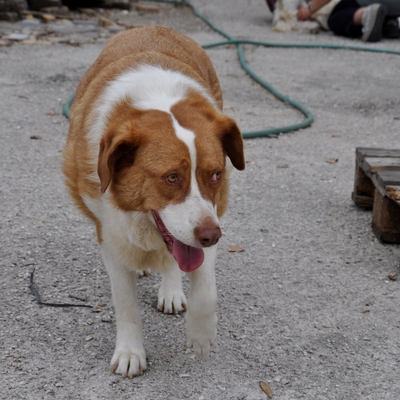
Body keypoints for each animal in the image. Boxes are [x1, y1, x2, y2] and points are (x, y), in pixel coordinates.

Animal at [63, 27, 245, 378]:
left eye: (215, 174)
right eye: (172, 177)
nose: (211, 236)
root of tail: (151, 27)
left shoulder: (212, 212)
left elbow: (206, 289)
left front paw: (201, 334)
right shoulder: (109, 233)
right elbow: (125, 303)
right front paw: (130, 352)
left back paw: (172, 289)